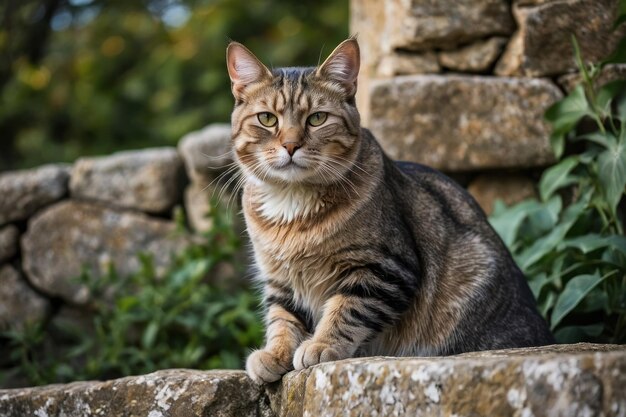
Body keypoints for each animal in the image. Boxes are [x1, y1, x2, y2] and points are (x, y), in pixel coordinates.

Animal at [224, 37, 552, 382]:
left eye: (317, 118)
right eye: (267, 119)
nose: (290, 146)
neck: (291, 204)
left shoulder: (383, 269)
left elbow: (346, 310)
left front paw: (322, 345)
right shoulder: (280, 281)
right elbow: (283, 319)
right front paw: (275, 354)